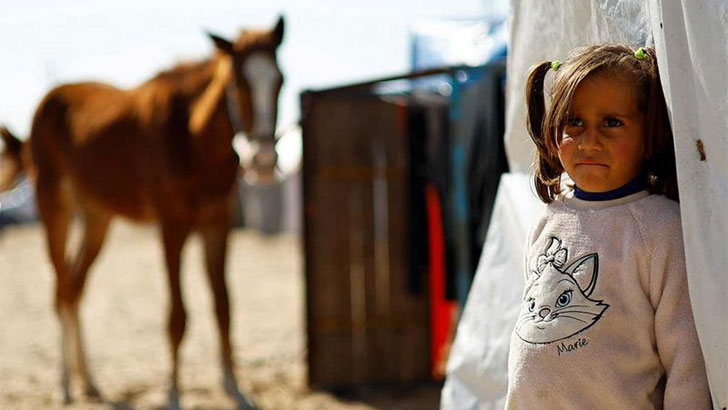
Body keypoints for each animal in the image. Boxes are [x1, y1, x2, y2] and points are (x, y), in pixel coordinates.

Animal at [0, 15, 284, 406]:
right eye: (238, 82)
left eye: (280, 81)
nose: (263, 161)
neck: (190, 136)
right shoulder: (172, 227)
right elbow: (177, 316)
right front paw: (174, 396)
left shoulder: (217, 224)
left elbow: (224, 305)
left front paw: (234, 389)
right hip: (54, 209)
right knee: (60, 291)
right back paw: (65, 386)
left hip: (97, 220)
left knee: (74, 288)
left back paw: (88, 382)